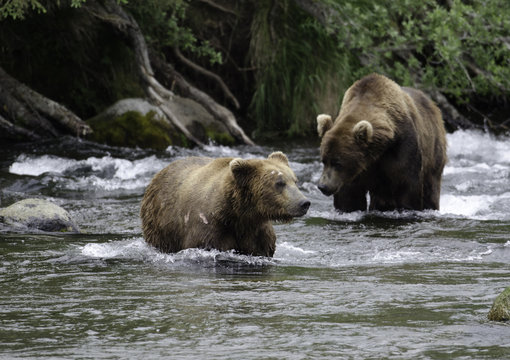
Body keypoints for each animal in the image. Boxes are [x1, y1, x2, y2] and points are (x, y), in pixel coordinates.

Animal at [138, 151, 310, 256]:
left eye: (295, 181)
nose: (304, 203)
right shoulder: (207, 230)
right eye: (279, 183)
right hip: (160, 227)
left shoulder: (257, 232)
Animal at [318, 74, 446, 214]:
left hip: (433, 151)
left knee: (431, 188)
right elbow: (349, 198)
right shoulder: (355, 172)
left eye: (337, 163)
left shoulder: (402, 147)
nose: (323, 186)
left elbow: (407, 187)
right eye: (324, 161)